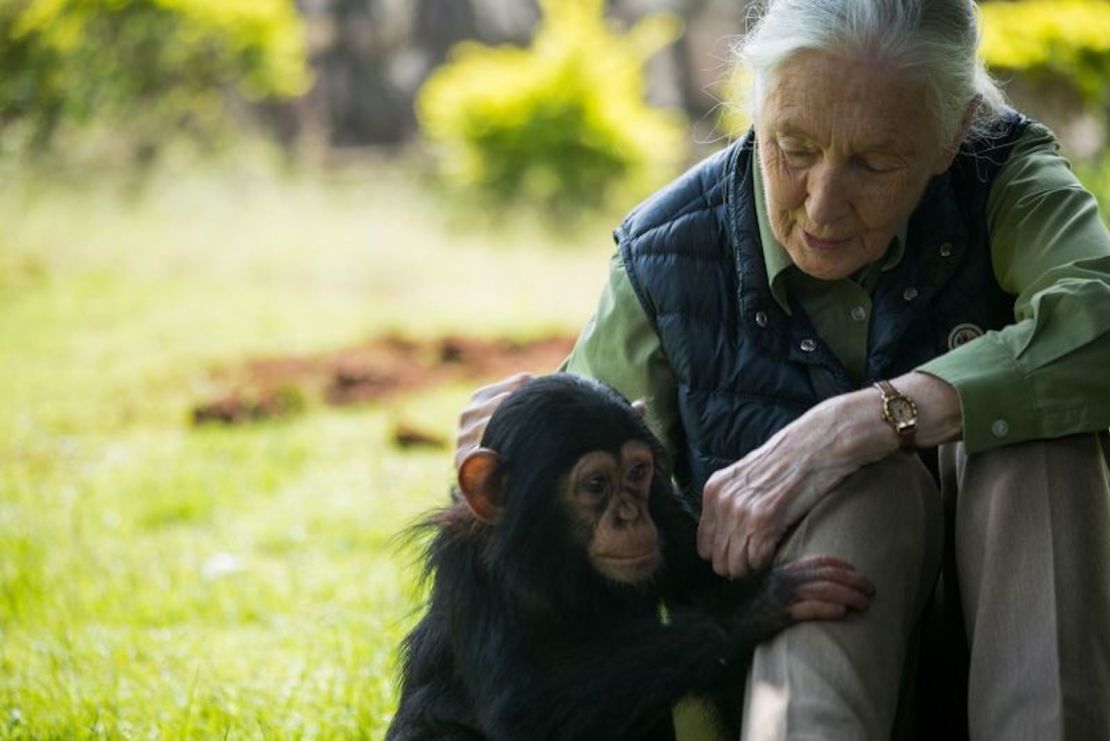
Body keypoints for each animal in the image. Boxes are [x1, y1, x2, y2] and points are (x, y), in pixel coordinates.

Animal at [386, 377, 870, 741]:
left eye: (636, 473)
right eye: (596, 483)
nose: (629, 516)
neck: (557, 560)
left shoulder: (668, 516)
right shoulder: (472, 569)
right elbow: (524, 707)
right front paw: (757, 604)